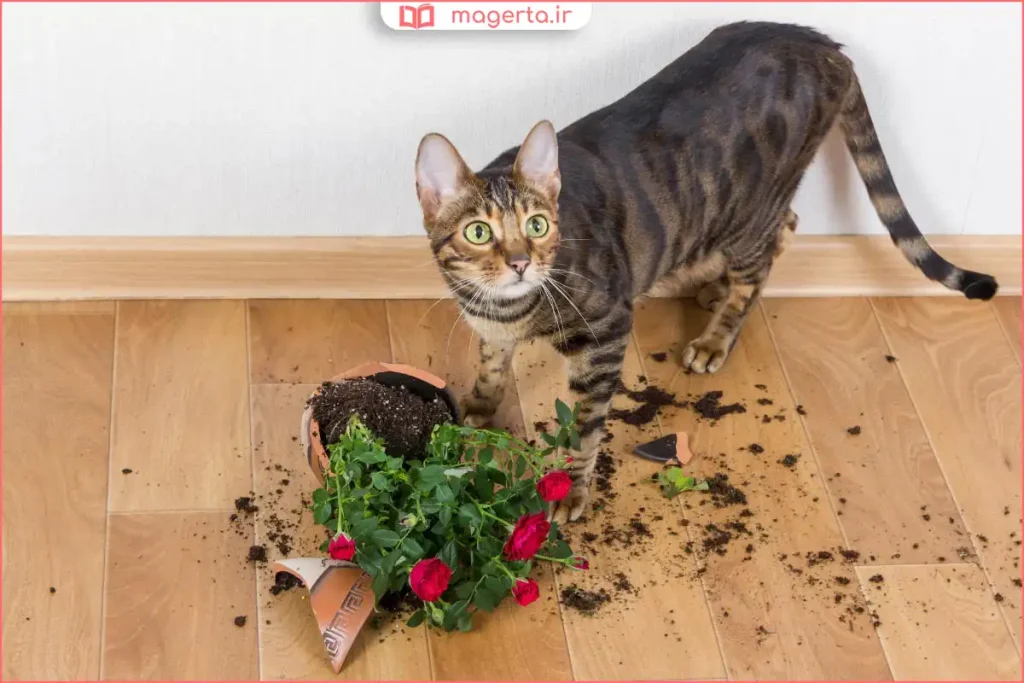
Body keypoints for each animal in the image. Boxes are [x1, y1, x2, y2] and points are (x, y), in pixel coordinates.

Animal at [412, 21, 998, 524]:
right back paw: (711, 288)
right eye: (478, 232)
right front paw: (478, 406)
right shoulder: (491, 329)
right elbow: (490, 365)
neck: (508, 308)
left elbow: (584, 427)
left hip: (749, 212)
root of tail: (825, 44)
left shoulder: (605, 333)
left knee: (766, 255)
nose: (520, 263)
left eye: (537, 225)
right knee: (787, 227)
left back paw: (717, 334)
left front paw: (569, 490)